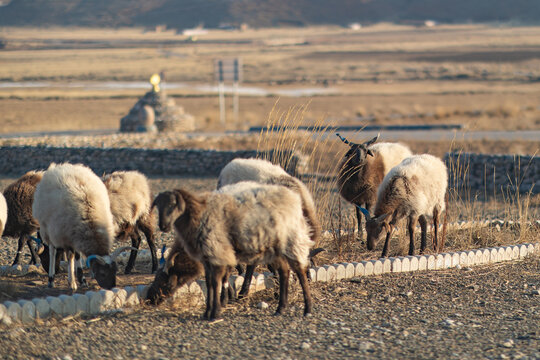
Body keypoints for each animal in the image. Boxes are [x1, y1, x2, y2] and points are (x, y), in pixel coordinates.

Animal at [32, 162, 133, 290]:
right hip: (48, 228)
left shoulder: (77, 235)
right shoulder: (66, 236)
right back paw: (51, 279)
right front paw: (72, 283)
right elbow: (70, 257)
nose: (111, 288)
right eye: (102, 273)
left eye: (115, 271)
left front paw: (81, 279)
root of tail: (60, 166)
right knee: (52, 251)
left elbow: (77, 255)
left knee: (75, 254)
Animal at [154, 183, 312, 320]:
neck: (198, 214)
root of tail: (294, 198)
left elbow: (216, 282)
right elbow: (209, 283)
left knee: (300, 272)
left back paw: (307, 309)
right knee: (284, 272)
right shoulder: (207, 257)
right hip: (275, 248)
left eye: (173, 204)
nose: (163, 226)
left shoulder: (218, 253)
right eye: (158, 207)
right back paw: (280, 308)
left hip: (291, 241)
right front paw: (207, 312)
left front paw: (215, 312)